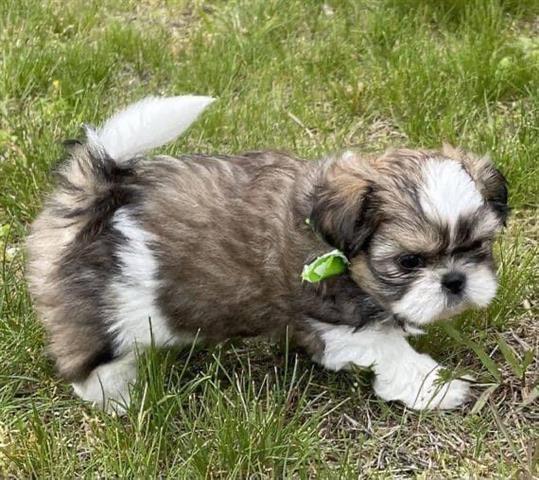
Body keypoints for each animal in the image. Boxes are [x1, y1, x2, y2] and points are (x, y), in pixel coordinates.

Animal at [26, 96, 510, 412]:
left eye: (477, 246)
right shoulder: (331, 320)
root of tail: (94, 198)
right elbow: (392, 351)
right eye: (409, 261)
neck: (332, 244)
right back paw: (122, 402)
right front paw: (438, 387)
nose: (454, 281)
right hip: (104, 310)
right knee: (90, 363)